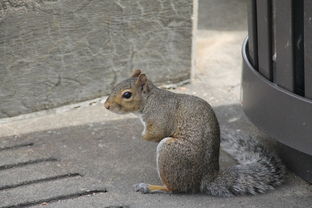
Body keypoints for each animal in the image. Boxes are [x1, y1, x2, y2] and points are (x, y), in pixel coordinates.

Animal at [104, 70, 286, 197]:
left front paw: (142, 136)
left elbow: (156, 133)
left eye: (127, 94)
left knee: (174, 188)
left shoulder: (160, 118)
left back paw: (150, 187)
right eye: (114, 87)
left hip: (170, 152)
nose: (106, 106)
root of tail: (204, 179)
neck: (150, 100)